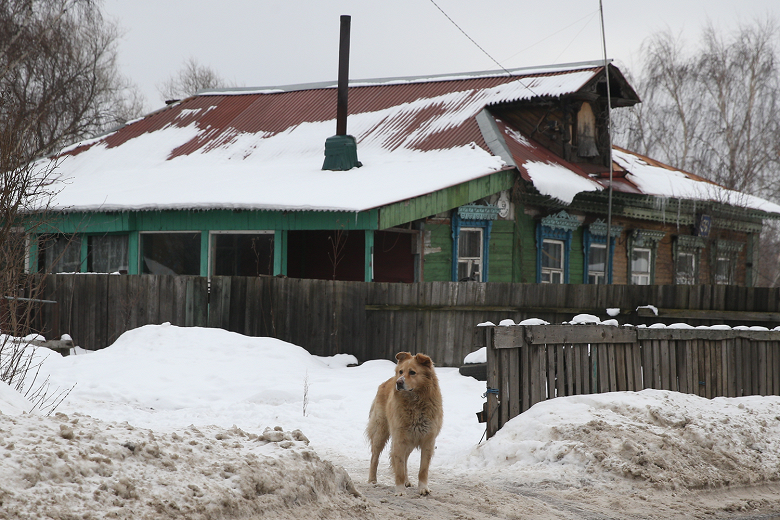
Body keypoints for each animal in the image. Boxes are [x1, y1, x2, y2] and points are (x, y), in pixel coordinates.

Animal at [364, 352, 438, 494]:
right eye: (401, 371)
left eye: (413, 372)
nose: (398, 382)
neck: (415, 403)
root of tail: (386, 382)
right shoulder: (399, 439)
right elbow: (399, 467)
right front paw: (400, 490)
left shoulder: (428, 440)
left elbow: (423, 469)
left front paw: (423, 488)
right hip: (381, 432)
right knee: (374, 457)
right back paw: (372, 480)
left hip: (409, 440)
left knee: (405, 460)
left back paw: (407, 481)